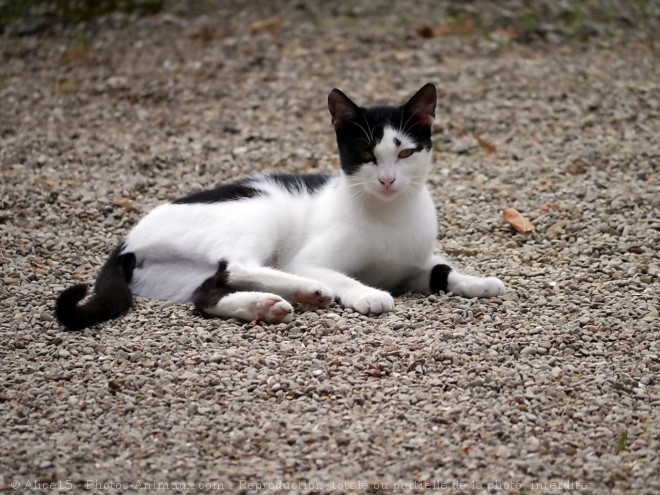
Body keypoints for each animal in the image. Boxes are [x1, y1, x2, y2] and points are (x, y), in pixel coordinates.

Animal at [55, 83, 506, 332]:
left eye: (407, 152)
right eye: (365, 153)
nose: (387, 180)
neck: (390, 214)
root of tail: (126, 240)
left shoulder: (413, 266)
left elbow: (442, 270)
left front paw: (480, 282)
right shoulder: (308, 258)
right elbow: (339, 275)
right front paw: (365, 293)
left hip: (176, 275)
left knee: (206, 292)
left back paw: (264, 306)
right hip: (261, 208)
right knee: (237, 265)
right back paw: (309, 290)